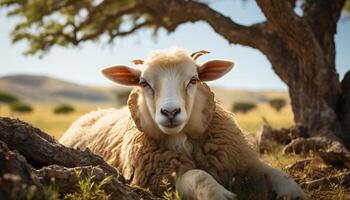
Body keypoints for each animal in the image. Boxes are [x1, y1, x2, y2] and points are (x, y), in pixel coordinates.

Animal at [60, 47, 306, 199]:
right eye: (143, 83)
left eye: (194, 80)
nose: (170, 112)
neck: (181, 138)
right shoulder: (164, 179)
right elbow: (197, 175)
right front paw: (218, 194)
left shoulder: (242, 161)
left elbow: (277, 174)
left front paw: (295, 193)